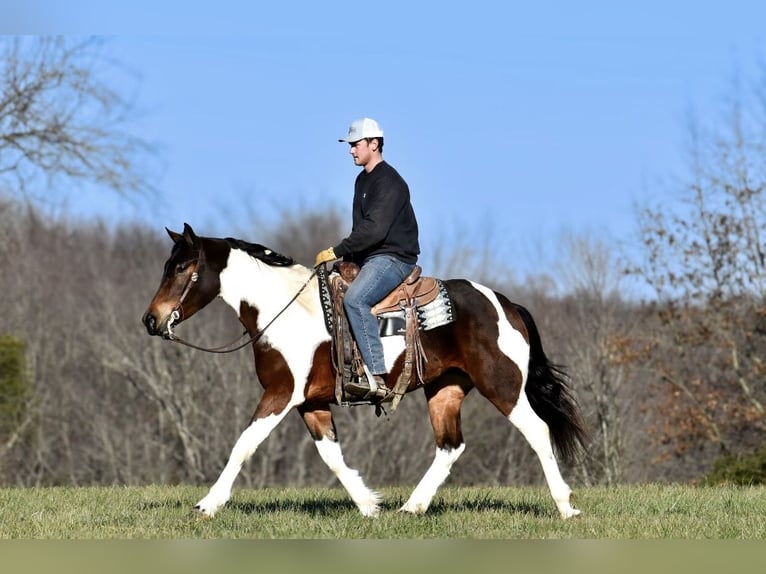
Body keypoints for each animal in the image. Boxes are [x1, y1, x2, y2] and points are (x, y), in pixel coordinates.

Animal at [142, 225, 588, 520]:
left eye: (181, 268)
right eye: (165, 265)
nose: (151, 320)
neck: (282, 310)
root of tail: (507, 304)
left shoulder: (281, 394)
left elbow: (244, 445)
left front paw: (208, 503)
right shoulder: (311, 403)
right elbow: (331, 456)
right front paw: (369, 505)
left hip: (502, 384)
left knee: (537, 431)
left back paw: (565, 507)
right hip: (445, 389)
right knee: (450, 446)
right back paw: (412, 506)